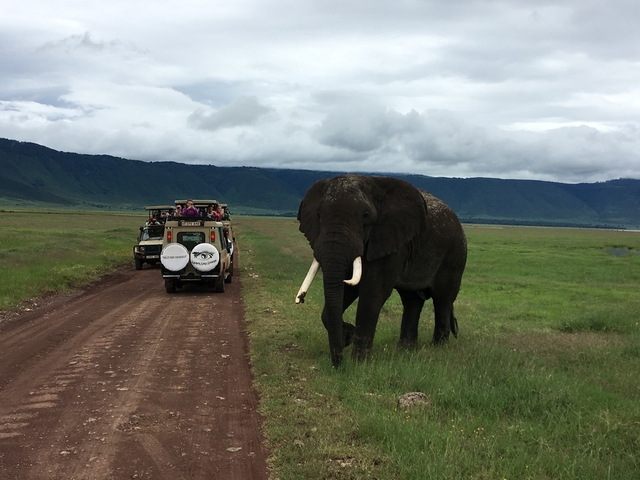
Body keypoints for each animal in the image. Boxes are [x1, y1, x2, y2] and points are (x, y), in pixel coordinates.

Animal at [295, 174, 467, 367]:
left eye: (365, 216)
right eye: (319, 215)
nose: (338, 365)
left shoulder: (392, 239)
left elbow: (373, 291)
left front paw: (358, 363)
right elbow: (348, 287)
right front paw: (348, 336)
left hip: (455, 254)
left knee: (442, 299)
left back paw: (437, 349)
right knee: (412, 300)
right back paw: (405, 350)